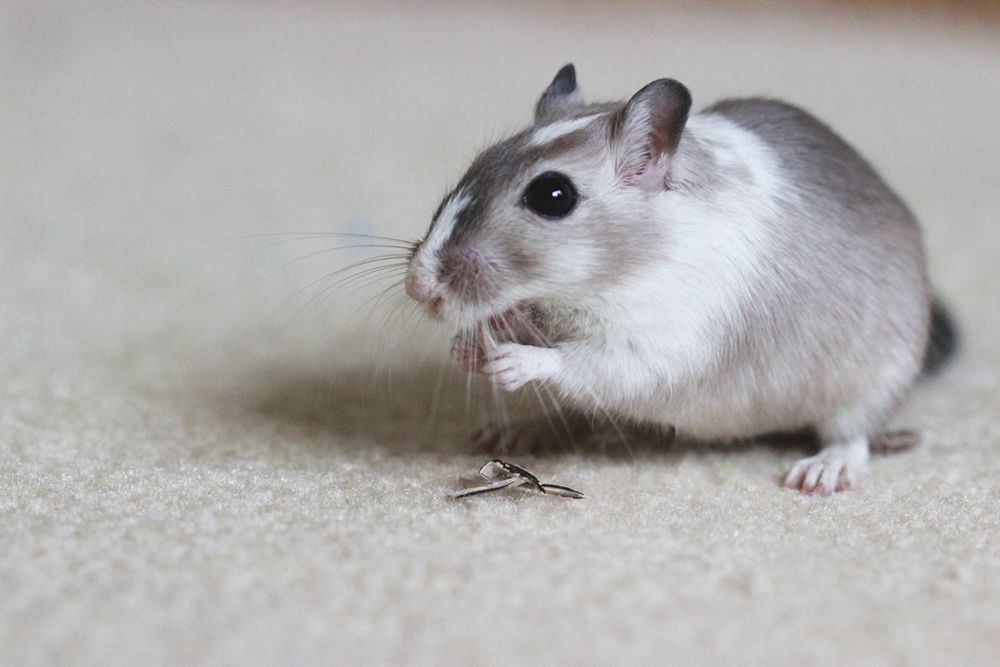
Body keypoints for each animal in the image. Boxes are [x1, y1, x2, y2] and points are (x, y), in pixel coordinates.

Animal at [404, 64, 956, 494]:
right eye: (477, 165)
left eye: (552, 196)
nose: (419, 289)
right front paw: (467, 348)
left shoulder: (663, 342)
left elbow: (584, 363)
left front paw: (512, 361)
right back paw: (520, 433)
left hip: (874, 379)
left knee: (855, 435)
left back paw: (823, 471)